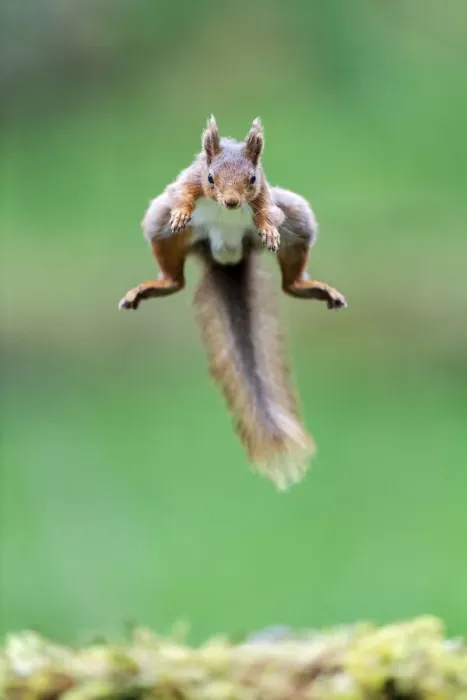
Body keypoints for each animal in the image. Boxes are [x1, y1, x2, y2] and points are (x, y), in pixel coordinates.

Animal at [118, 116, 347, 490]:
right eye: (210, 177)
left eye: (251, 179)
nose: (229, 202)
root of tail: (227, 254)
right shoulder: (190, 179)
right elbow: (183, 193)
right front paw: (183, 210)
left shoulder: (265, 192)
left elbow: (266, 208)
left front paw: (268, 227)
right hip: (158, 223)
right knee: (174, 276)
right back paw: (158, 283)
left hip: (297, 217)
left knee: (290, 279)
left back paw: (307, 285)